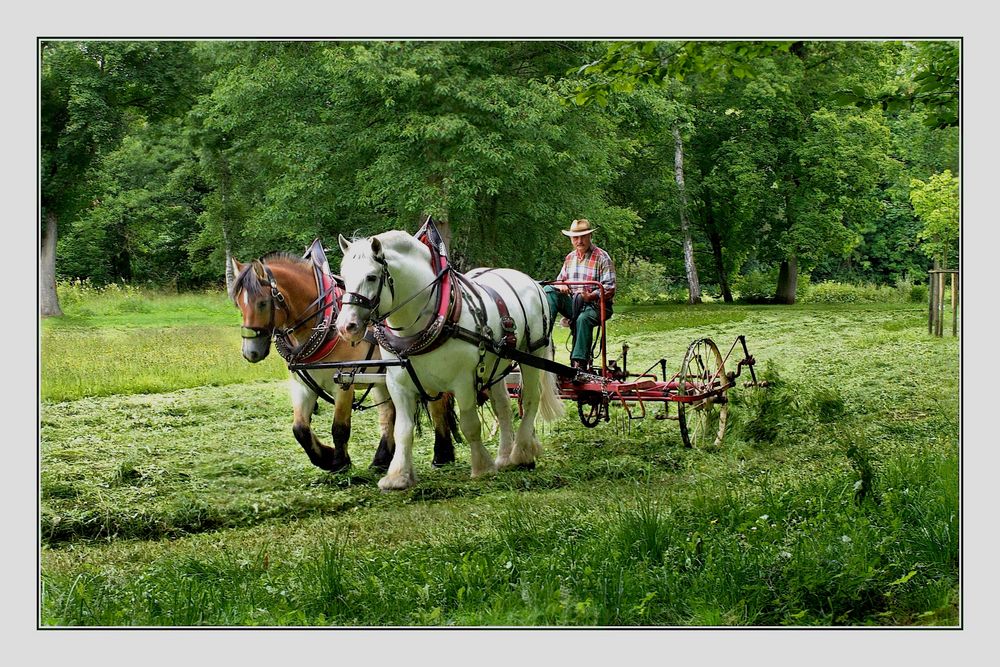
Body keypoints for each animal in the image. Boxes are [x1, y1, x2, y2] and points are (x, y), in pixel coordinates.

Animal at [229, 243, 458, 478]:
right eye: (238, 304)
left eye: (263, 303)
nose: (250, 352)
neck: (323, 323)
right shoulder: (302, 385)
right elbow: (300, 429)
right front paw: (326, 457)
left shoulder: (344, 380)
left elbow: (339, 427)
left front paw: (340, 463)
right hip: (384, 379)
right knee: (389, 413)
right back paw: (381, 460)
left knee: (437, 405)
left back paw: (442, 455)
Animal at [336, 230, 564, 490]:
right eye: (343, 277)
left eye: (371, 277)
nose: (346, 326)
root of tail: (532, 282)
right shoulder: (398, 384)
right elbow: (403, 429)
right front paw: (398, 477)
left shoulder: (464, 381)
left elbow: (470, 424)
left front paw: (482, 467)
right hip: (497, 364)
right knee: (503, 407)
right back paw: (505, 457)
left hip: (533, 353)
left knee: (531, 399)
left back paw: (522, 452)